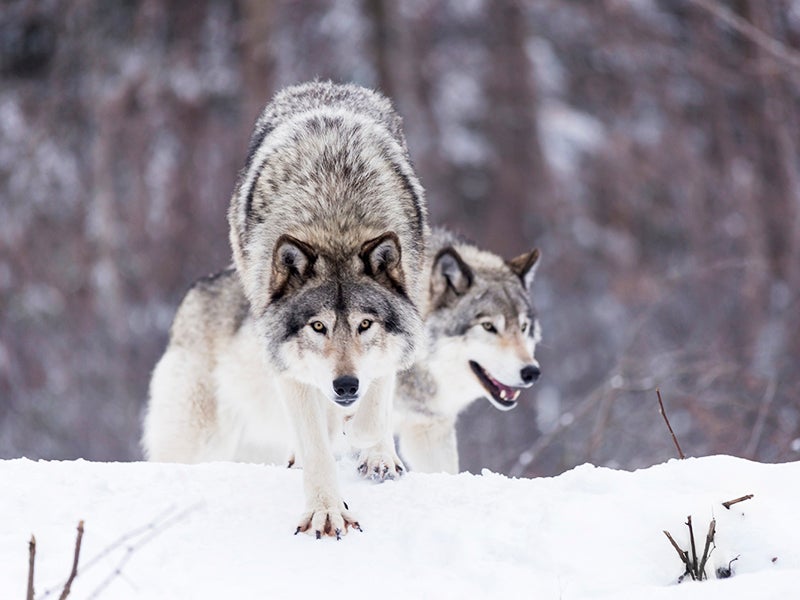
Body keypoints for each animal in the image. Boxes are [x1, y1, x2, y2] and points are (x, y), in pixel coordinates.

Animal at [144, 81, 432, 540]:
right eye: (317, 326)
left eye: (365, 324)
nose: (345, 385)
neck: (335, 221)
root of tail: (323, 85)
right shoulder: (288, 362)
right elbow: (317, 444)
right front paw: (326, 513)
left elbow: (373, 408)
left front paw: (369, 447)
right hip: (197, 432)